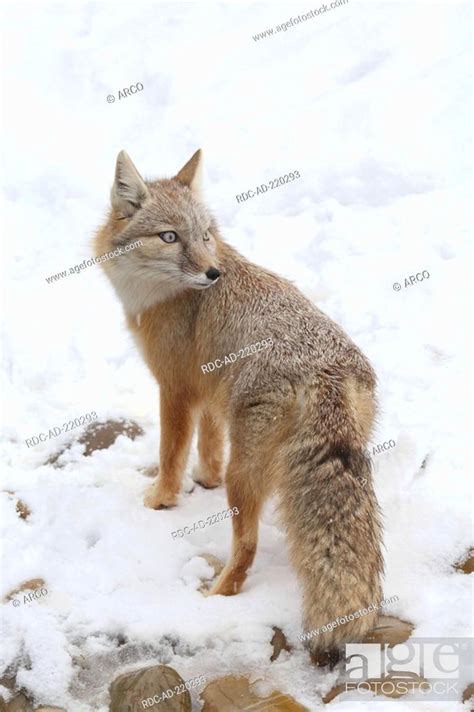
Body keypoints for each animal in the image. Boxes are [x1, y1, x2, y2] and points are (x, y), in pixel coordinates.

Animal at [94, 148, 384, 663]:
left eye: (205, 236)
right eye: (170, 237)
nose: (213, 273)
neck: (160, 296)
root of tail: (326, 369)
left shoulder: (175, 389)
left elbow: (171, 453)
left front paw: (160, 499)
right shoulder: (210, 392)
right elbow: (208, 445)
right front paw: (202, 479)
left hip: (244, 475)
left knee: (246, 546)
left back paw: (217, 594)